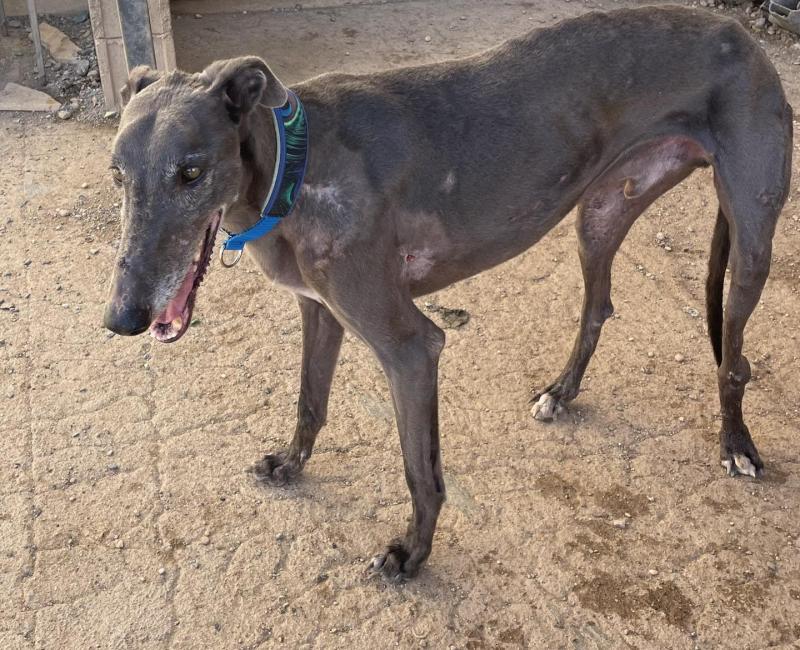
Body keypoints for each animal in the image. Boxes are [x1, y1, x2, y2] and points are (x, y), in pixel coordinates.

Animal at [103, 6, 792, 579]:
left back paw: (736, 445)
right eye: (117, 173)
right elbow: (310, 402)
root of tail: (743, 35)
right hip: (600, 215)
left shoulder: (409, 347)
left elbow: (421, 471)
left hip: (750, 235)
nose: (121, 318)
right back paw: (562, 392)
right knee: (598, 306)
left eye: (192, 171)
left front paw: (412, 553)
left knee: (735, 361)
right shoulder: (320, 310)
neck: (293, 165)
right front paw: (291, 464)